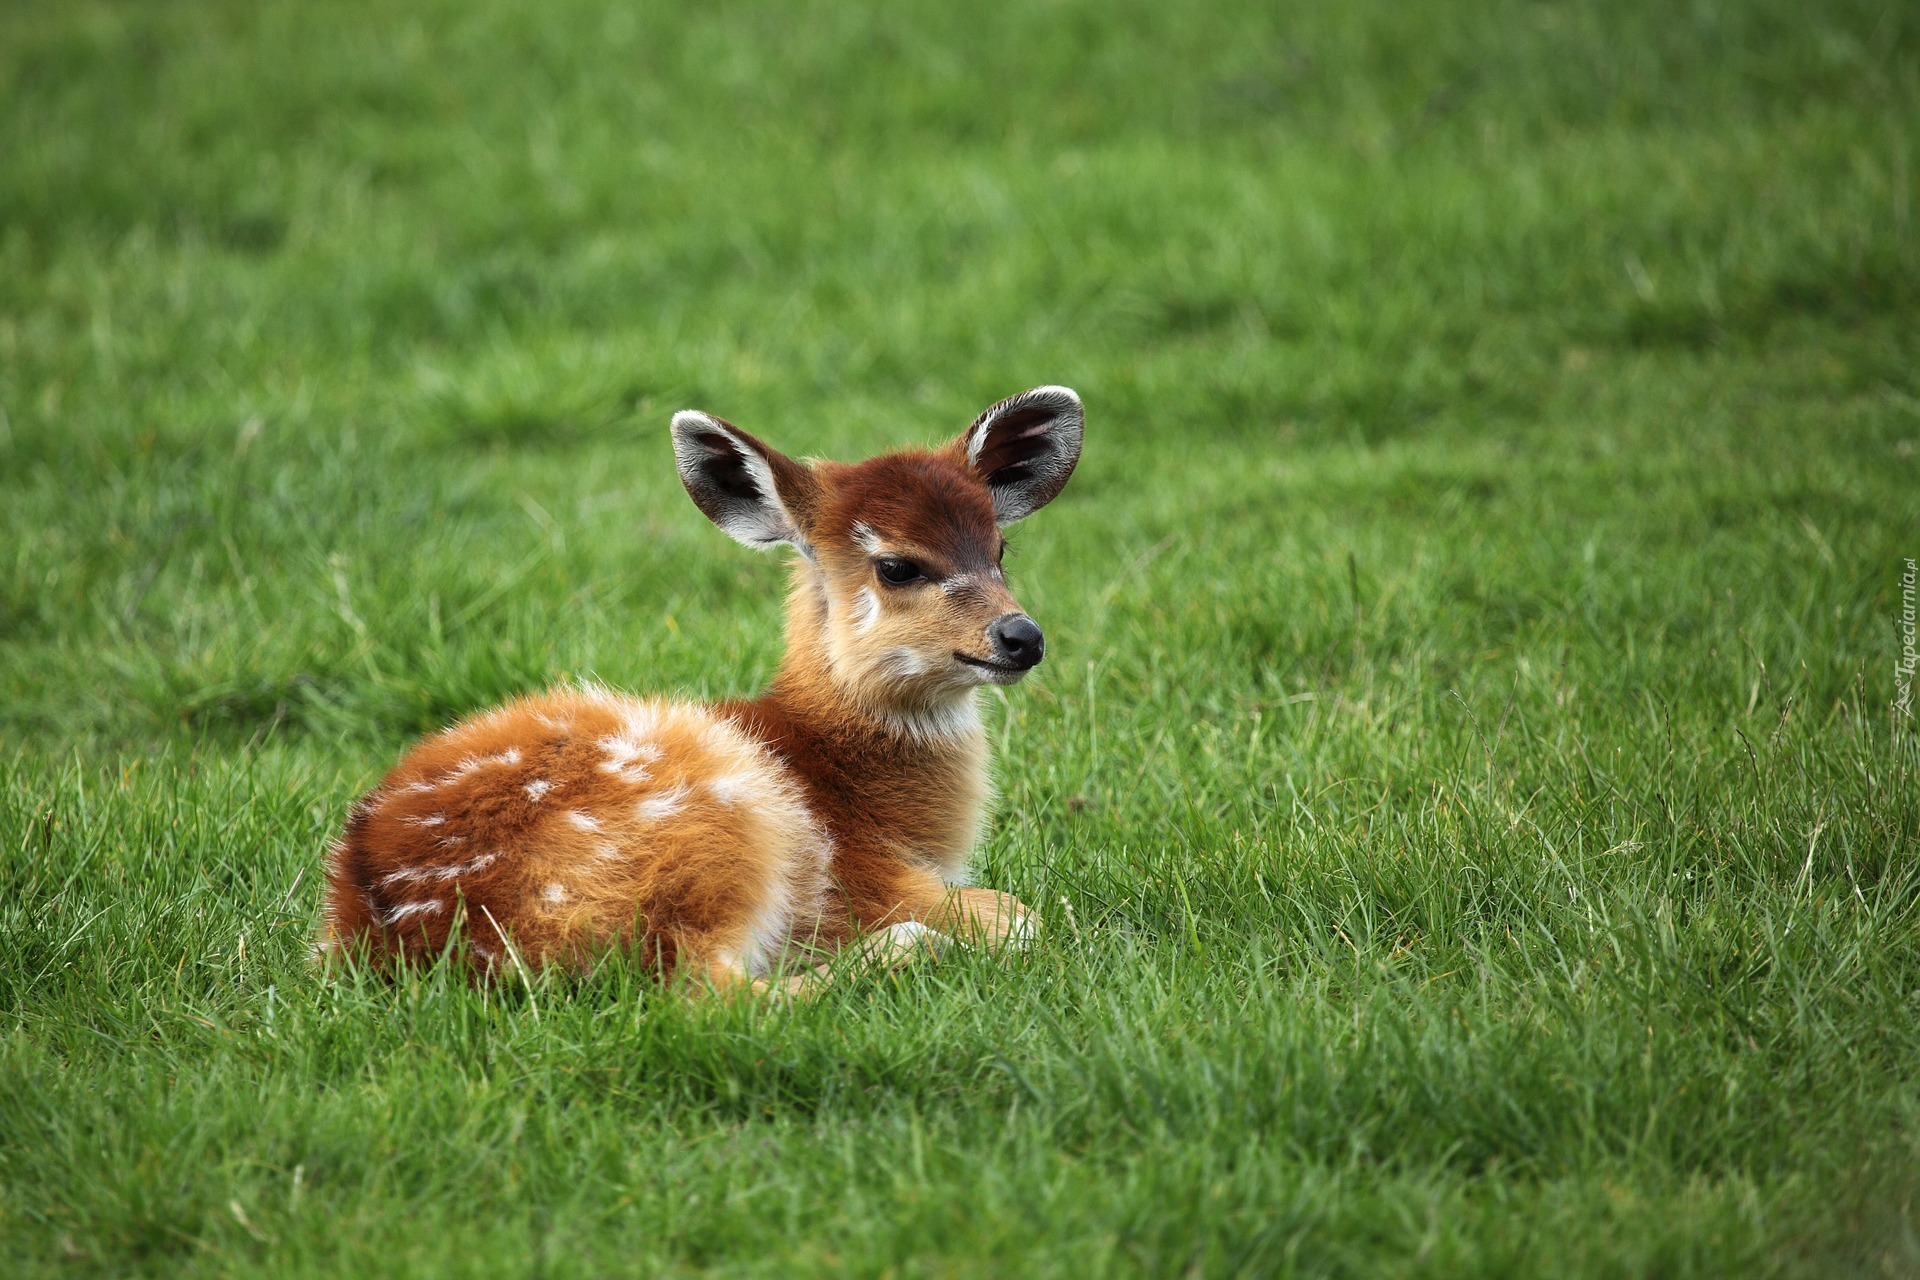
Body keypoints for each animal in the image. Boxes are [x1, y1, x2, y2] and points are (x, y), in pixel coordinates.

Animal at [322, 385, 1090, 997]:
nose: (1022, 636)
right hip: (722, 827)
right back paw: (907, 949)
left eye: (999, 551)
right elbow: (1022, 915)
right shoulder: (867, 879)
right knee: (708, 990)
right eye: (897, 566)